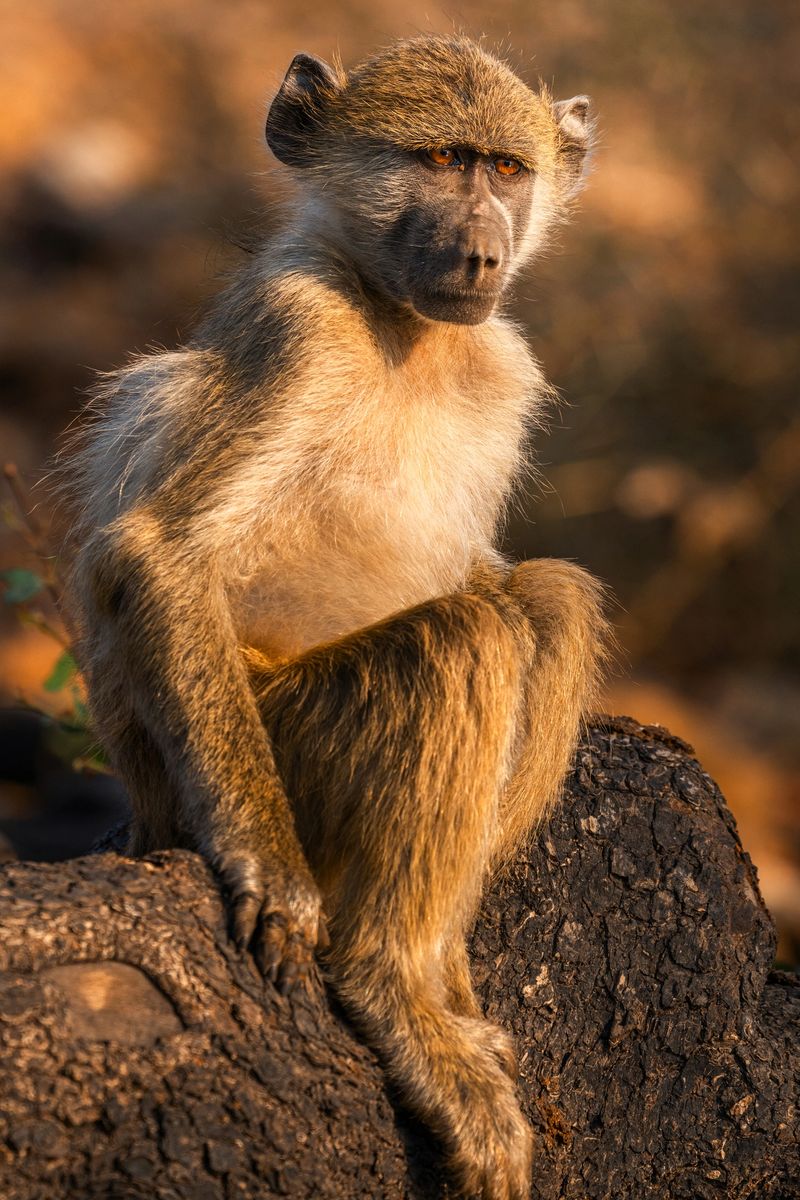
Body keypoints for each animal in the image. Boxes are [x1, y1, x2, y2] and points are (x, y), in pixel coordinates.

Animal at [61, 35, 609, 1200]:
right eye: (440, 160)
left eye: (506, 169)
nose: (482, 256)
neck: (402, 322)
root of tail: (145, 805)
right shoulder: (299, 327)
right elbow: (158, 553)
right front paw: (271, 880)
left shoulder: (505, 367)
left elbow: (486, 572)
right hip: (277, 736)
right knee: (464, 641)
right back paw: (388, 982)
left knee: (543, 605)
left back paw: (441, 987)